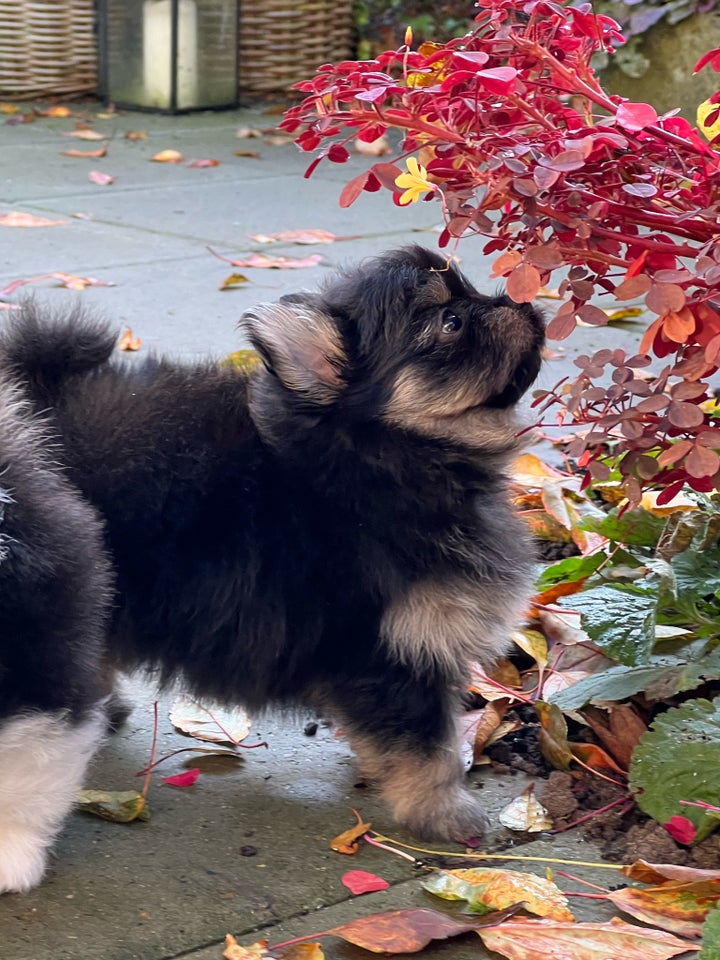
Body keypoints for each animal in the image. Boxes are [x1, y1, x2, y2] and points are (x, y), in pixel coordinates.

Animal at [0, 248, 544, 892]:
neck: (384, 454)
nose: (521, 303)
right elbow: (428, 747)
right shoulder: (389, 654)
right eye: (450, 323)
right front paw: (445, 813)